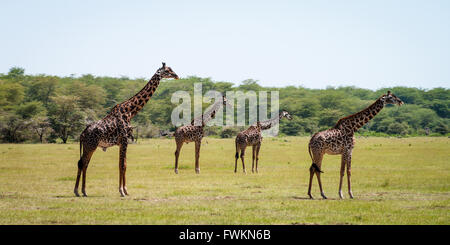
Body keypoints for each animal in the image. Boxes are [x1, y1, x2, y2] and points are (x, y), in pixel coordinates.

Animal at [74, 62, 179, 197]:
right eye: (167, 71)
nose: (176, 75)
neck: (130, 111)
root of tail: (82, 134)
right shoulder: (124, 140)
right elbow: (122, 165)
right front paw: (122, 191)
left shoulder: (122, 142)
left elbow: (124, 164)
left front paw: (126, 190)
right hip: (90, 145)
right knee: (82, 163)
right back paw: (78, 191)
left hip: (89, 146)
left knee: (84, 163)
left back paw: (83, 191)